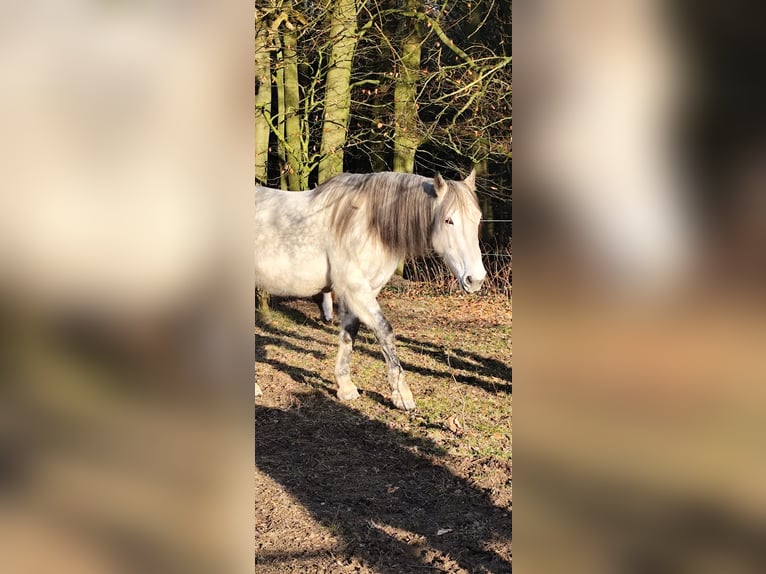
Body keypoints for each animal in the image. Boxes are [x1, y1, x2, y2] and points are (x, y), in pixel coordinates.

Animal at [254, 170, 486, 410]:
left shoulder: (358, 292)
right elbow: (385, 331)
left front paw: (346, 387)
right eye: (449, 220)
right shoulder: (355, 288)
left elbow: (350, 333)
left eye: (477, 218)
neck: (367, 224)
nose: (475, 279)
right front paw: (402, 395)